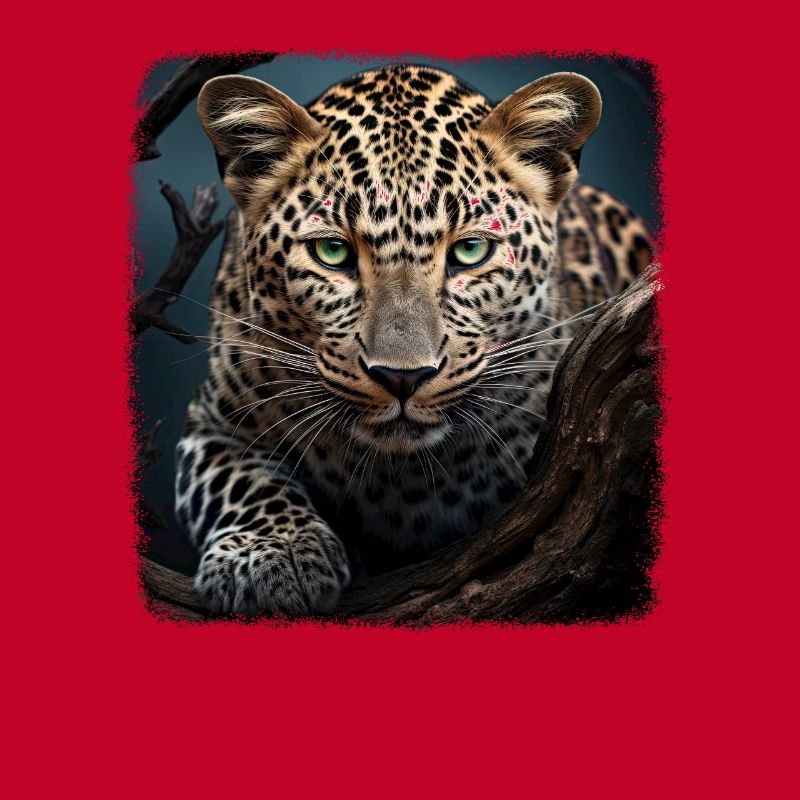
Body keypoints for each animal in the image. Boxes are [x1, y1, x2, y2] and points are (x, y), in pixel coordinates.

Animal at [174, 64, 653, 616]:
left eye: (470, 250)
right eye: (332, 252)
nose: (402, 378)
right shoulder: (211, 423)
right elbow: (242, 481)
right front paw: (272, 554)